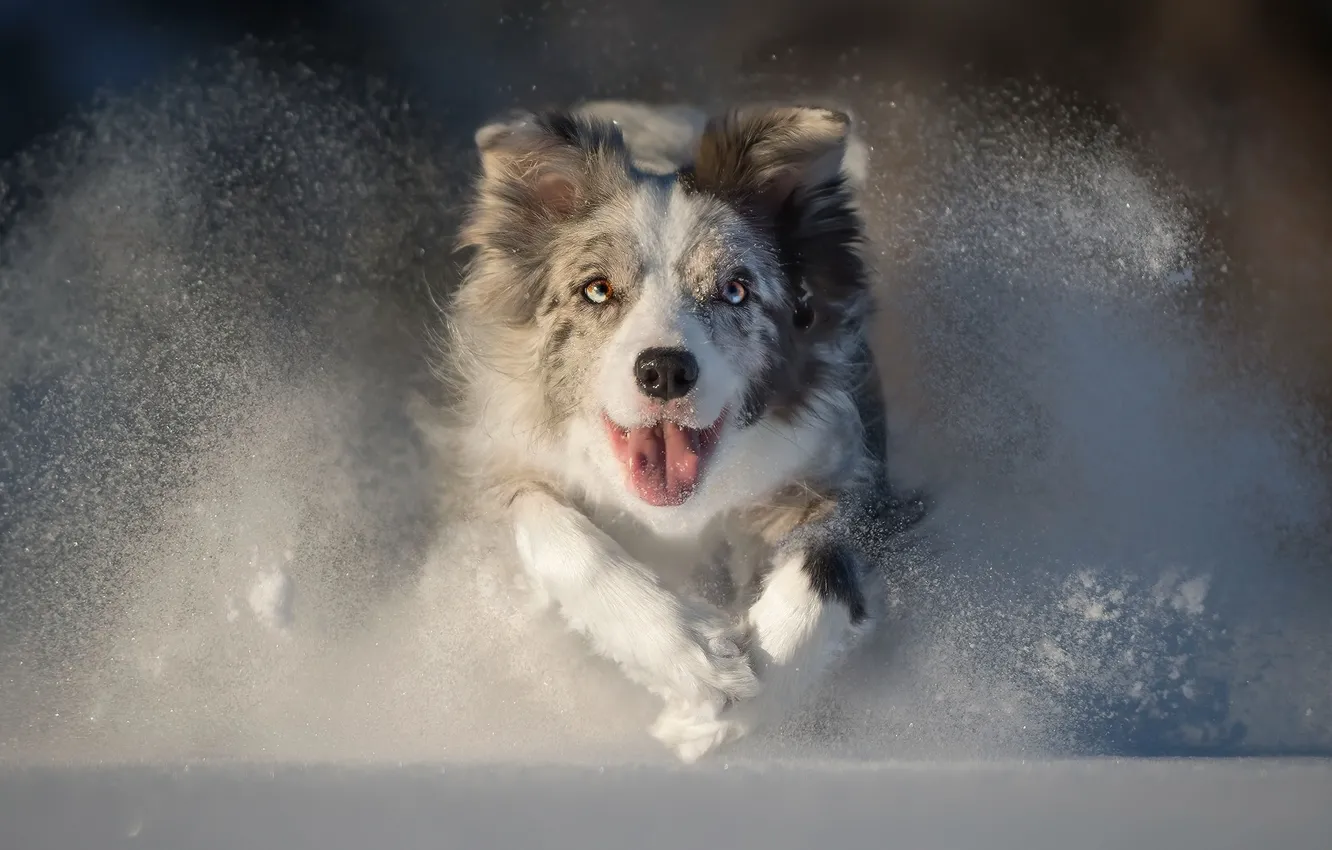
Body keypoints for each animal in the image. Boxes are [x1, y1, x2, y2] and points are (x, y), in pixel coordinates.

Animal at [436, 101, 927, 767]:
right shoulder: (492, 468)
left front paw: (734, 707)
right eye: (597, 289)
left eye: (735, 289)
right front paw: (688, 656)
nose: (664, 370)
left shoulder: (853, 475)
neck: (674, 518)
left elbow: (823, 566)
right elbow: (549, 522)